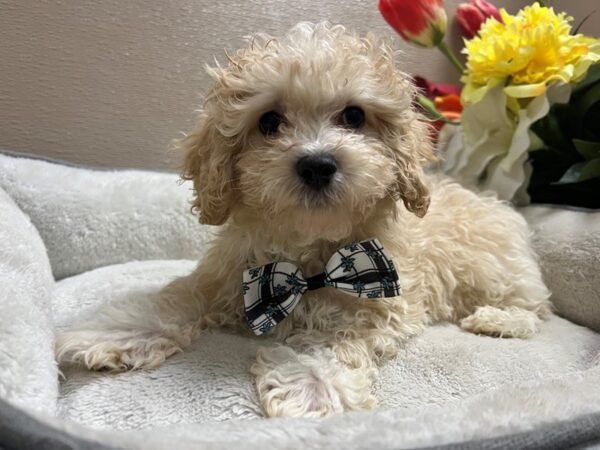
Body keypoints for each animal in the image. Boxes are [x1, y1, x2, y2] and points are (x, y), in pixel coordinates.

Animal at [57, 22, 552, 418]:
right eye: (269, 121)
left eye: (354, 115)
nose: (317, 164)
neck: (308, 251)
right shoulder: (225, 276)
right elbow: (176, 299)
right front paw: (109, 331)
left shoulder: (381, 305)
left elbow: (333, 342)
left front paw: (312, 386)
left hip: (497, 271)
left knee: (536, 308)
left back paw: (496, 321)